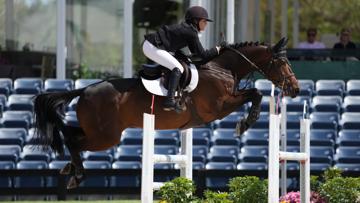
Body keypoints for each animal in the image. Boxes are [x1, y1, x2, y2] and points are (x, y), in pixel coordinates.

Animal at [33, 37, 298, 189]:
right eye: (283, 63)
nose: (295, 89)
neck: (222, 68)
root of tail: (85, 89)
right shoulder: (219, 107)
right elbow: (255, 93)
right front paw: (245, 123)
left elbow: (254, 92)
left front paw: (245, 122)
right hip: (106, 137)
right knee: (74, 141)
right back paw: (77, 175)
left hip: (98, 131)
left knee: (71, 135)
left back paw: (70, 169)